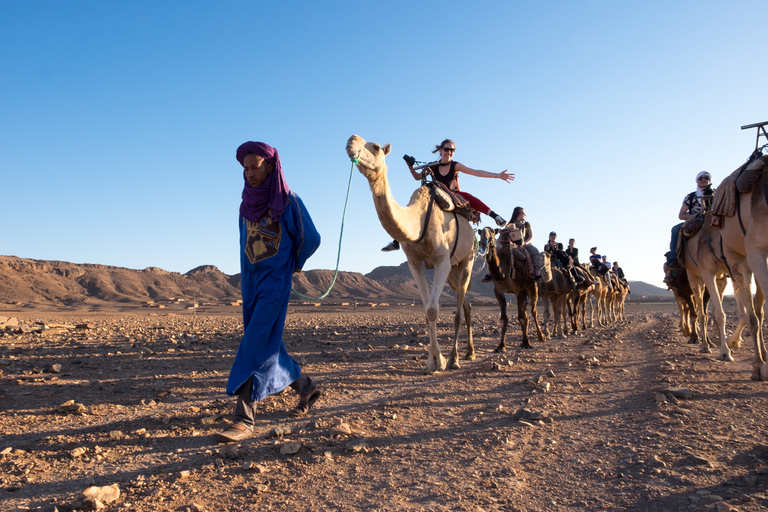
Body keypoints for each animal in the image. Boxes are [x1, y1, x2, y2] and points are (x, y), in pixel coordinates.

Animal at [346, 135, 474, 376]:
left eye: (375, 147)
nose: (351, 142)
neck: (419, 218)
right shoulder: (415, 262)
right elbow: (425, 310)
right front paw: (431, 361)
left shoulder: (441, 260)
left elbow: (433, 310)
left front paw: (440, 361)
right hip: (452, 272)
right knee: (467, 307)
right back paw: (469, 352)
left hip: (466, 261)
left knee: (459, 312)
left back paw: (456, 358)